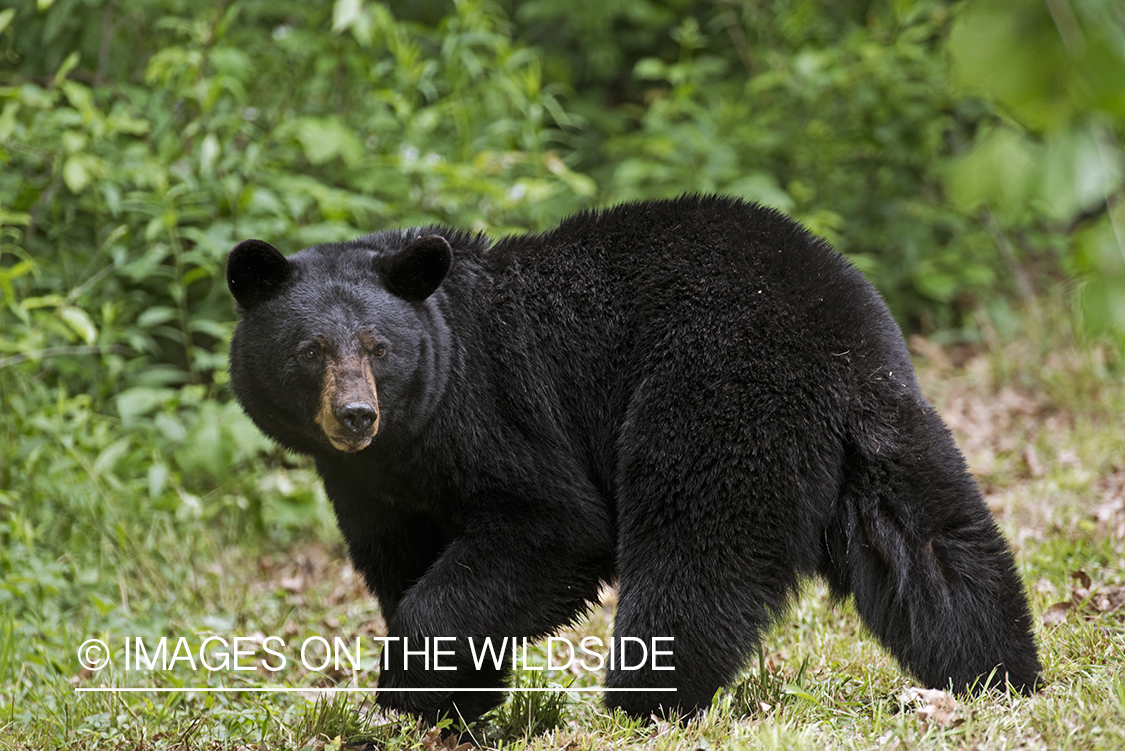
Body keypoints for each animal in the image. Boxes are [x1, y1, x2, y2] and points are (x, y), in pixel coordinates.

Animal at [228, 195, 1044, 728]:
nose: (355, 416)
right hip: (884, 421)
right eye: (310, 350)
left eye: (378, 346)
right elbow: (401, 560)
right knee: (932, 542)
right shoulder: (372, 487)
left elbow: (556, 525)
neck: (410, 438)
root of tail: (831, 340)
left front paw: (407, 691)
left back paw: (641, 702)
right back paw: (999, 674)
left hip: (713, 395)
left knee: (693, 552)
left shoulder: (492, 413)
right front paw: (453, 702)